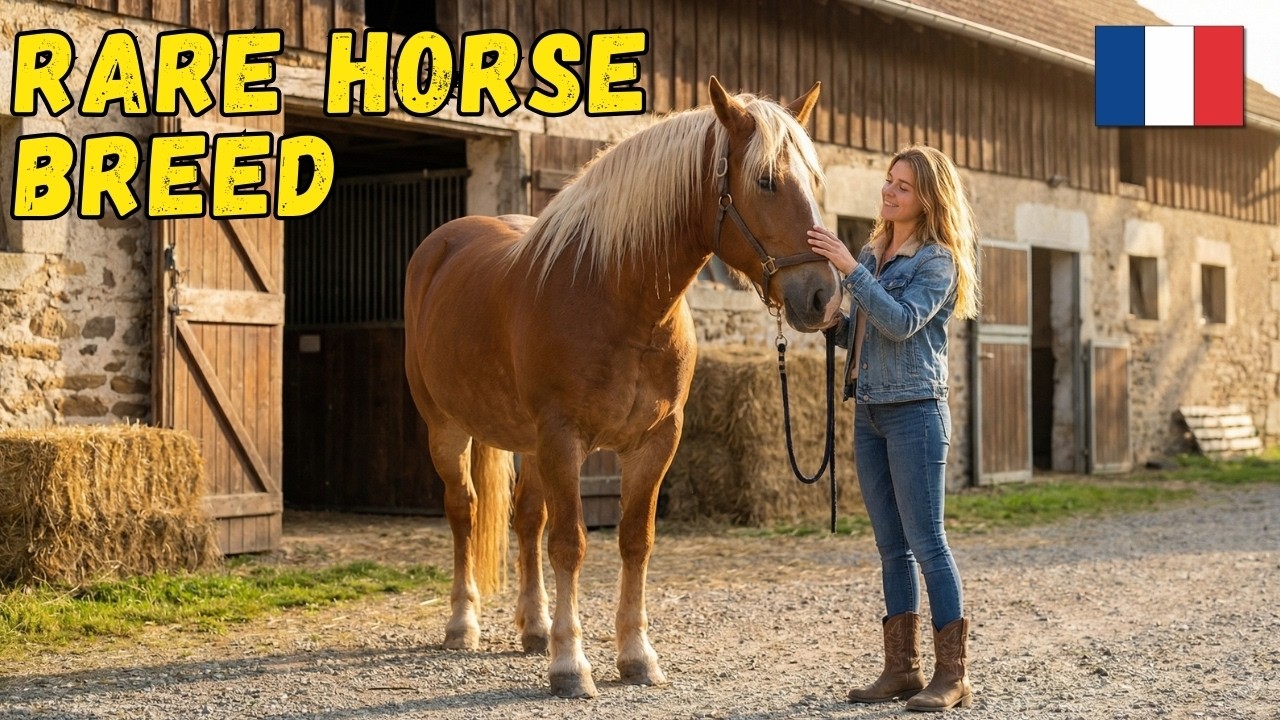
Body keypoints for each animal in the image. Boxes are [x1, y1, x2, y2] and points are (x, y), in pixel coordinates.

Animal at [404, 76, 842, 698]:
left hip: (527, 443)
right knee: (464, 511)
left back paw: (534, 628)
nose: (823, 296)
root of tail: (442, 246)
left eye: (814, 180)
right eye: (766, 181)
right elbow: (571, 543)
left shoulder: (657, 441)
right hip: (447, 429)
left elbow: (636, 540)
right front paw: (570, 664)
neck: (618, 296)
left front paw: (635, 656)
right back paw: (463, 624)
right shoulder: (563, 438)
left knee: (525, 519)